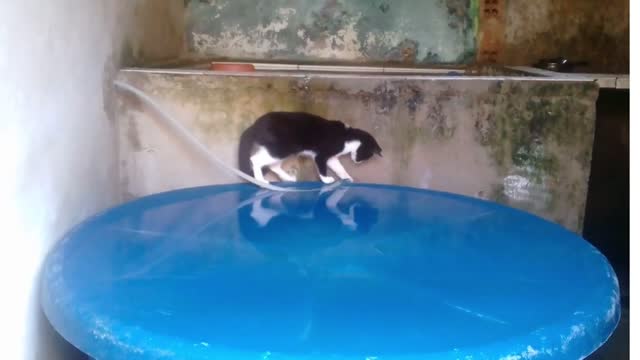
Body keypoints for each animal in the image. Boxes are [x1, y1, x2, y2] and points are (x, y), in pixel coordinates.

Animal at [239, 112, 380, 183]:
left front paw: (347, 177)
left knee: (273, 166)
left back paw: (288, 178)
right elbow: (322, 168)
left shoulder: (332, 158)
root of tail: (255, 125)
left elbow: (340, 168)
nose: (358, 162)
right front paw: (326, 180)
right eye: (367, 156)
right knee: (255, 159)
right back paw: (260, 180)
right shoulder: (322, 155)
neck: (347, 137)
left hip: (278, 151)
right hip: (281, 148)